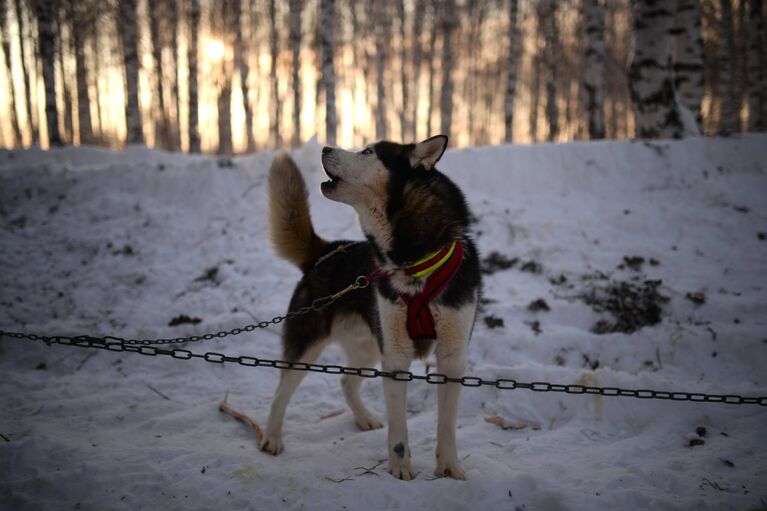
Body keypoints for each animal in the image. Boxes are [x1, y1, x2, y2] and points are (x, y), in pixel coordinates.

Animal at [264, 135, 480, 480]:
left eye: (368, 152)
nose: (325, 147)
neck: (414, 264)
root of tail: (327, 250)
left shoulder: (452, 356)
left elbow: (447, 425)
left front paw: (449, 467)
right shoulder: (396, 356)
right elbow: (399, 430)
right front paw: (400, 468)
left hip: (368, 349)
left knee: (346, 381)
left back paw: (363, 417)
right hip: (309, 344)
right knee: (281, 391)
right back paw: (271, 437)